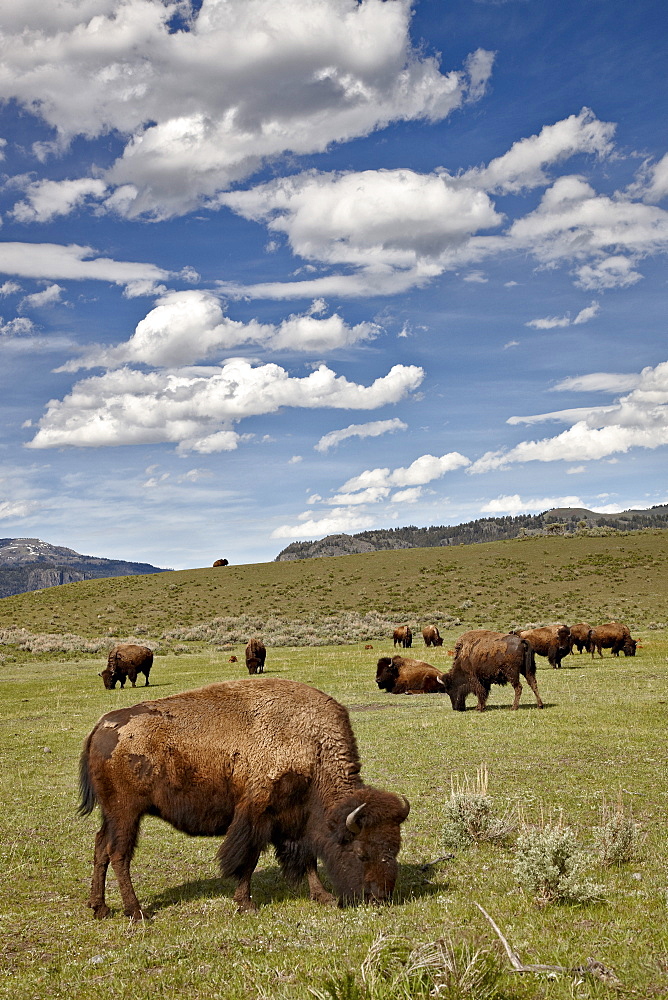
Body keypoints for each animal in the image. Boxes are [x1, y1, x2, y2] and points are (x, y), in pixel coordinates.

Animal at [79, 680, 412, 920]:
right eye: (360, 853)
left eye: (395, 848)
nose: (379, 897)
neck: (312, 746)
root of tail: (101, 726)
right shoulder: (257, 815)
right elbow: (247, 860)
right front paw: (246, 904)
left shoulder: (296, 821)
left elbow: (307, 860)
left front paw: (323, 897)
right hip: (126, 813)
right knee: (119, 854)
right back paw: (136, 912)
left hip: (111, 815)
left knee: (101, 847)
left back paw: (100, 908)